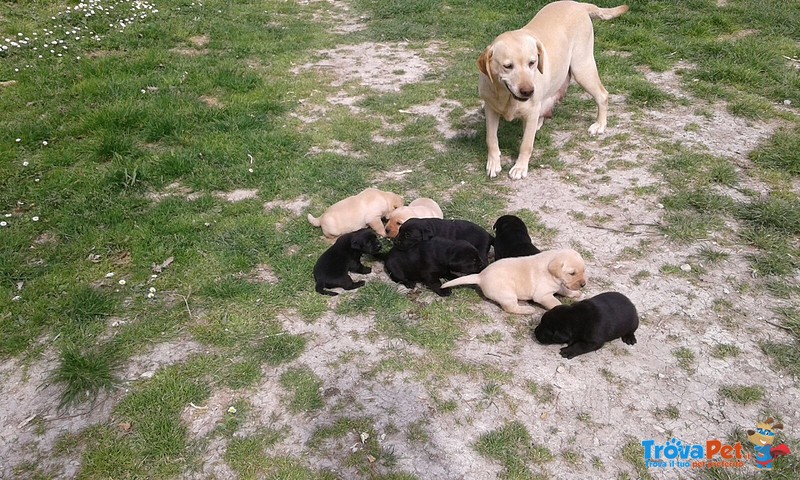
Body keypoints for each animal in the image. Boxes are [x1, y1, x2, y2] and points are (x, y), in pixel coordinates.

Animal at [440, 249, 584, 314]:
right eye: (572, 273)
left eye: (583, 271)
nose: (583, 284)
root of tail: (480, 276)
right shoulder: (543, 295)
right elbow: (555, 303)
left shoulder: (559, 285)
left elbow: (565, 290)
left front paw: (576, 294)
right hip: (508, 294)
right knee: (510, 308)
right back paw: (527, 310)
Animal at [478, 0, 628, 179]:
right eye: (507, 66)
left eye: (532, 62)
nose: (528, 91)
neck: (506, 96)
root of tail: (578, 4)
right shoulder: (490, 109)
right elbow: (491, 139)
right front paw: (493, 163)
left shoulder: (531, 113)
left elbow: (526, 145)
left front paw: (520, 167)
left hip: (582, 68)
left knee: (602, 95)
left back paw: (600, 124)